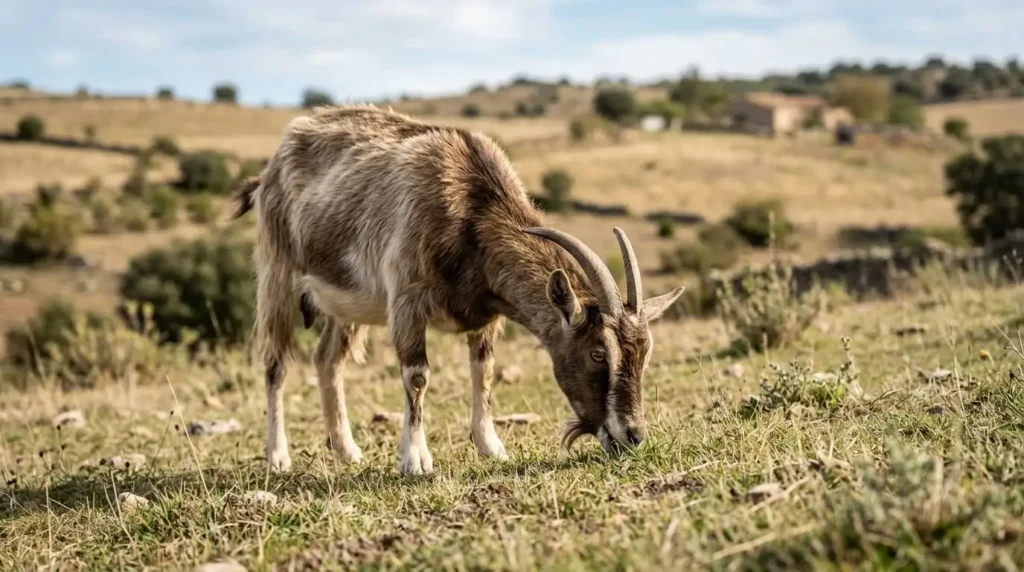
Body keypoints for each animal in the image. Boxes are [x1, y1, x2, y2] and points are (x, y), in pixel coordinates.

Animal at [232, 104, 685, 475]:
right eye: (597, 353)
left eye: (644, 354)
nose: (633, 436)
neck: (472, 207)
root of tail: (270, 169)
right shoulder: (407, 297)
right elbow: (417, 375)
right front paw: (415, 460)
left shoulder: (485, 316)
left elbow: (484, 372)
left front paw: (491, 447)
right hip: (277, 274)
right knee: (276, 363)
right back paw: (278, 456)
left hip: (347, 303)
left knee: (328, 360)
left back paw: (347, 450)